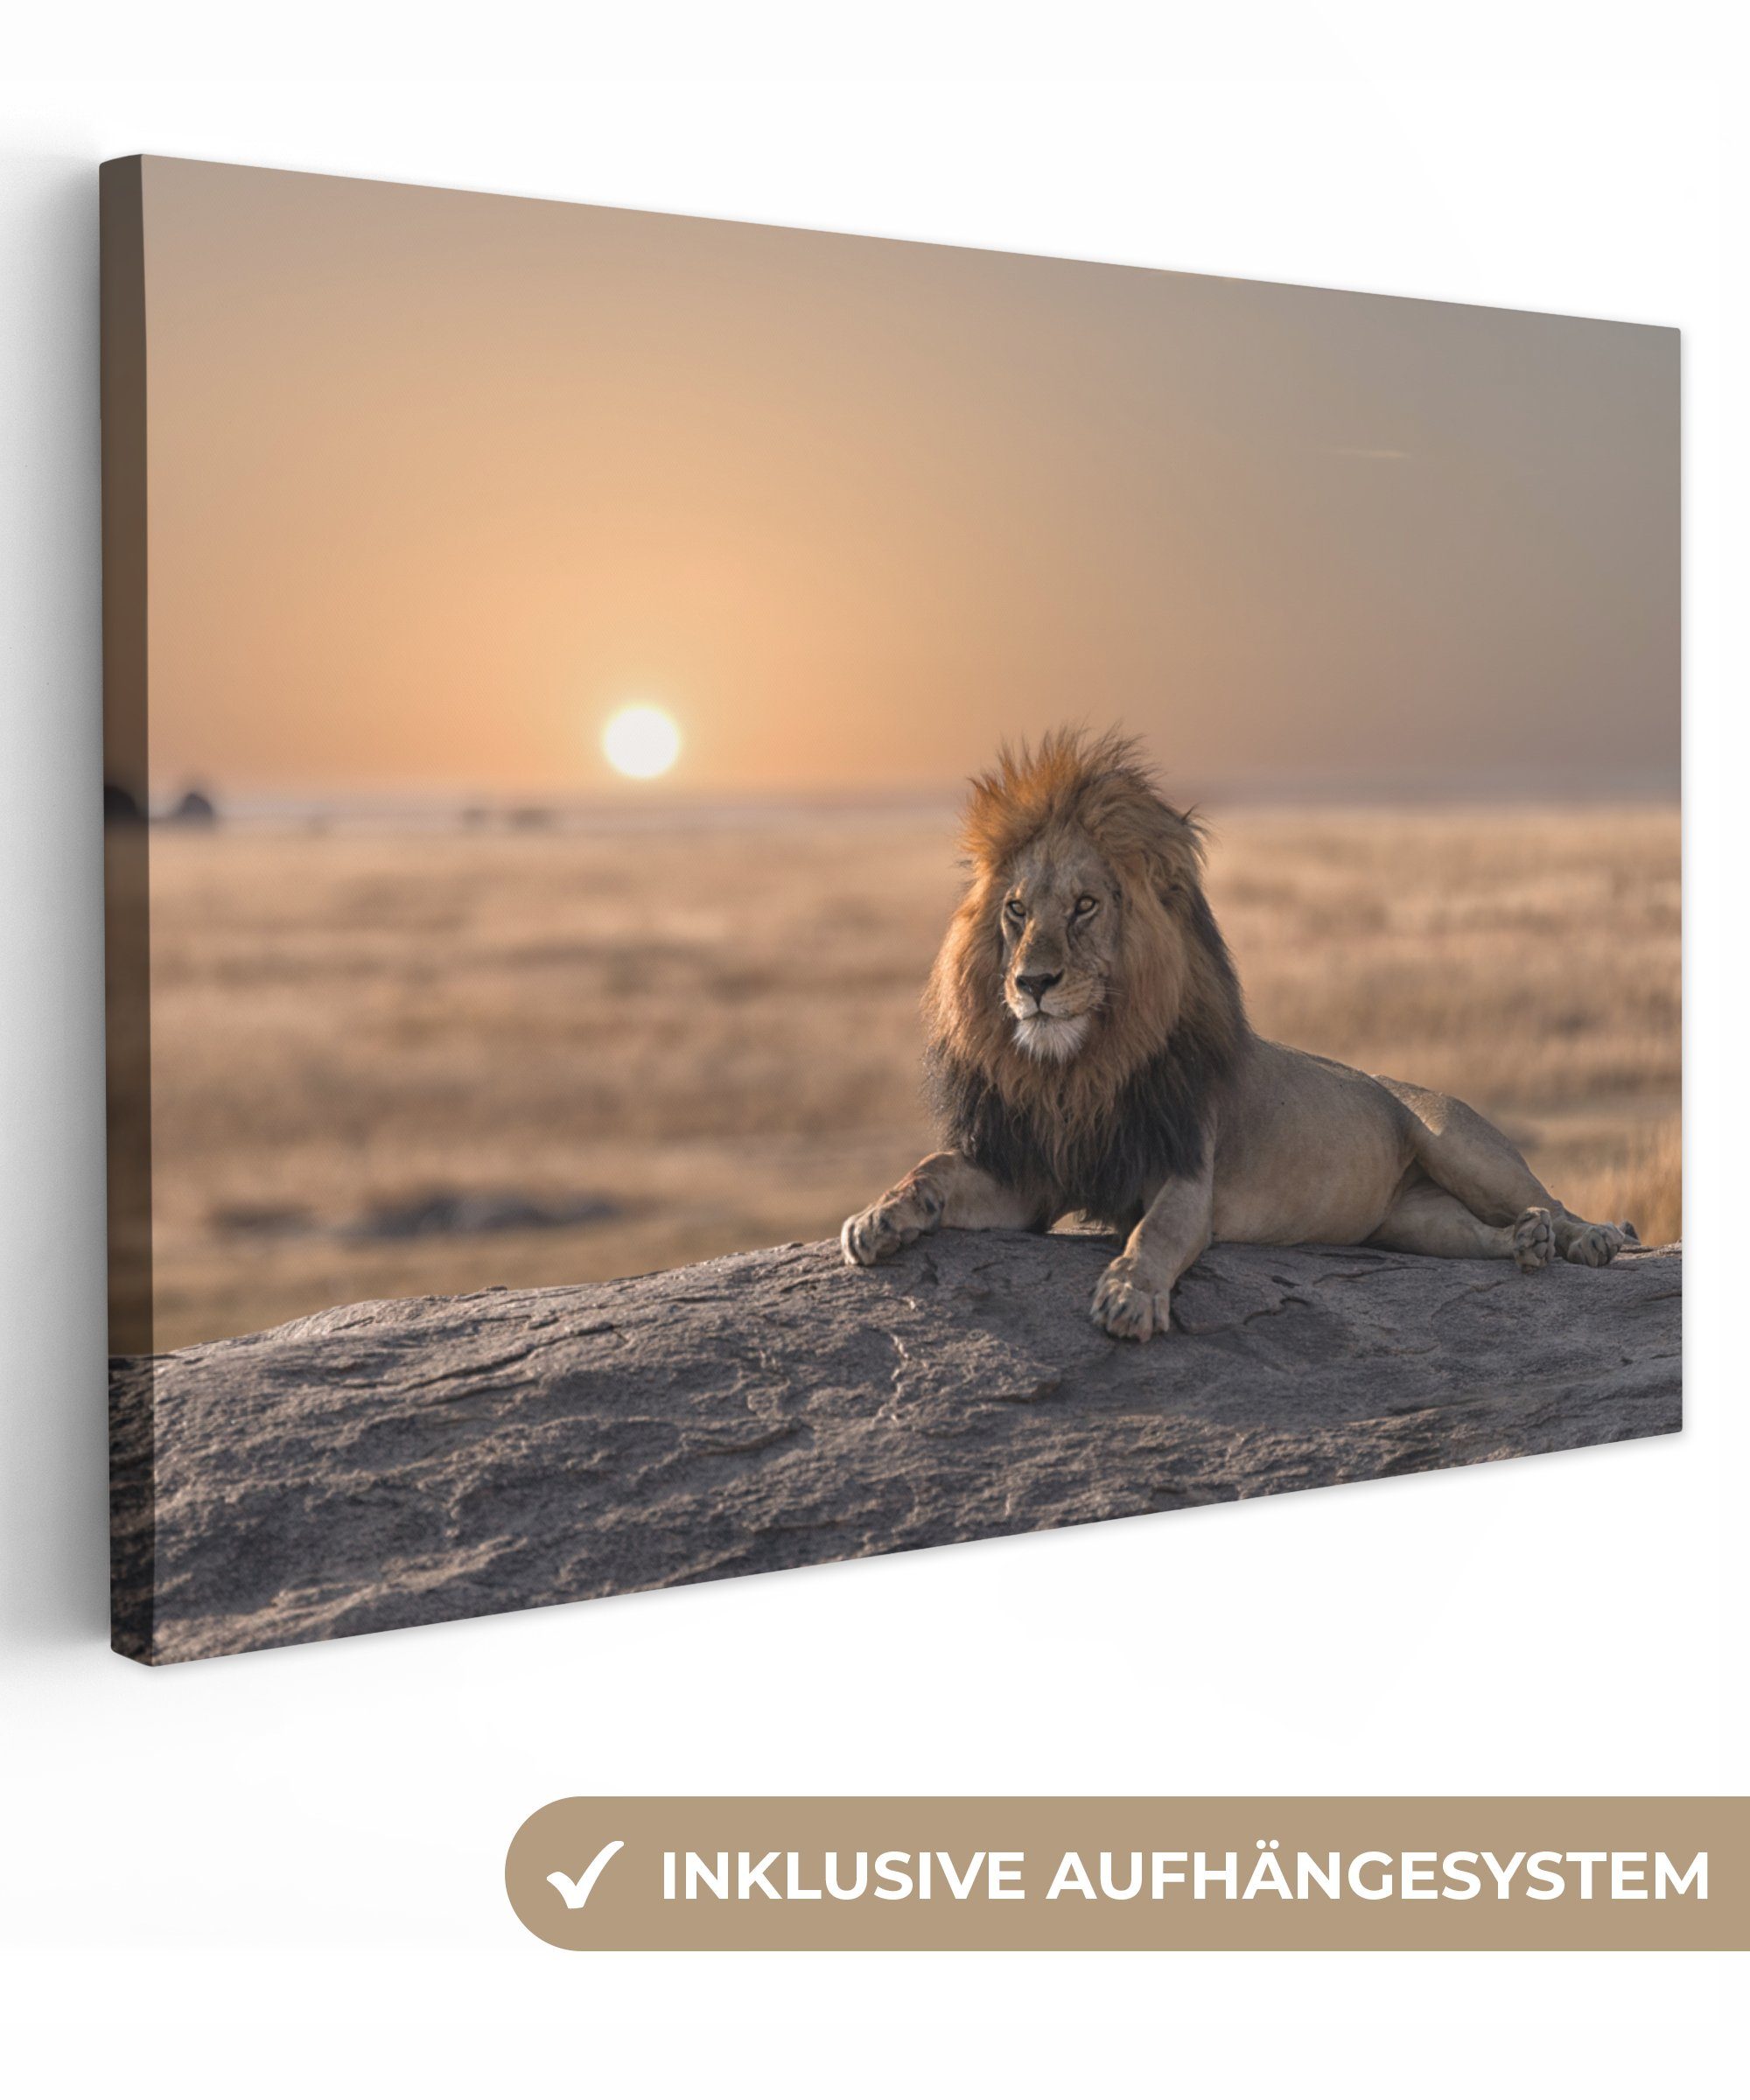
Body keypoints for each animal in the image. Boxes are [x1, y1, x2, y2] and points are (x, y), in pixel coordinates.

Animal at [841, 728, 1634, 1340]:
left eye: (1085, 906)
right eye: (1015, 911)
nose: (1032, 983)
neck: (1080, 1069)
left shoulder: (1187, 1173)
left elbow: (1155, 1232)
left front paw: (1128, 1294)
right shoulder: (1033, 1177)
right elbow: (934, 1168)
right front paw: (879, 1217)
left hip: (1460, 1143)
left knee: (1548, 1198)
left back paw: (1589, 1237)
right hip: (1410, 1221)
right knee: (1477, 1236)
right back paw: (1524, 1243)